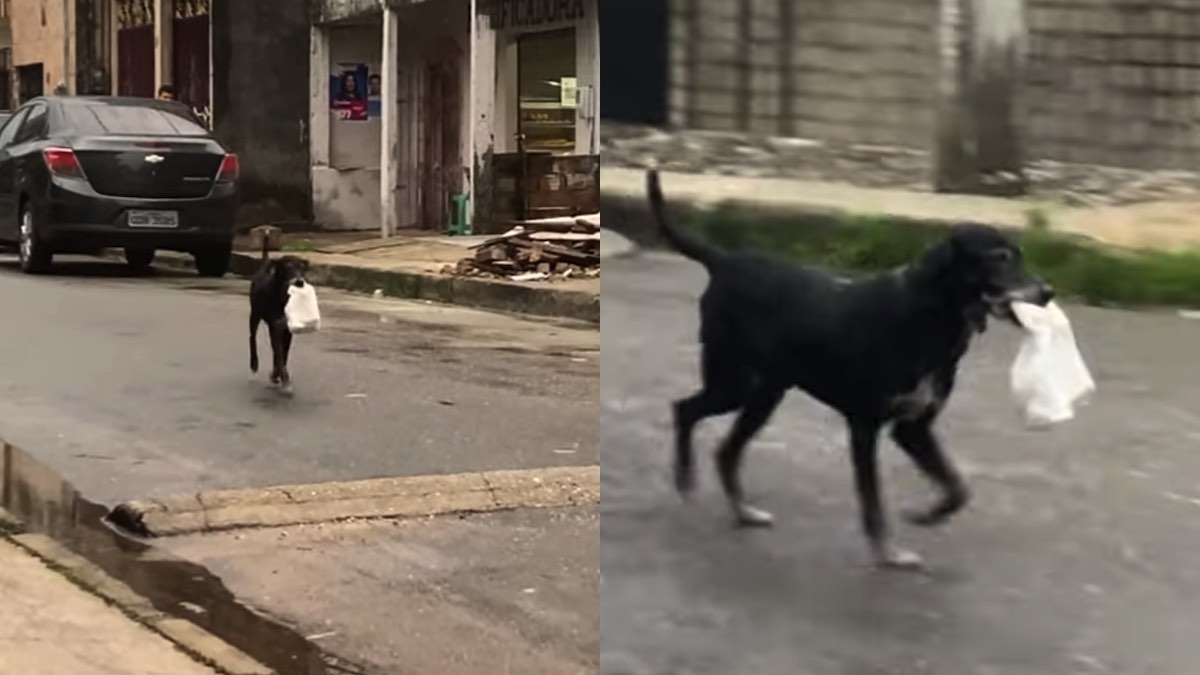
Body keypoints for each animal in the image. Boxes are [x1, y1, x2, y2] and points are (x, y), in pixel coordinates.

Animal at [248, 239, 309, 391]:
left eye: (302, 268)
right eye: (288, 266)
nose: (299, 281)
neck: (283, 298)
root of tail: (265, 264)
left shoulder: (287, 329)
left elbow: (283, 354)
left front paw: (277, 375)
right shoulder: (274, 326)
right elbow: (279, 353)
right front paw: (284, 379)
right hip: (254, 314)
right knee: (252, 338)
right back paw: (254, 363)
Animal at [652, 169, 1056, 566]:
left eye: (1019, 255)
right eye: (999, 257)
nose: (1048, 291)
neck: (932, 318)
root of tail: (723, 260)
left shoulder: (913, 428)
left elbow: (958, 488)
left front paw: (927, 515)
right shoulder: (865, 426)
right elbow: (872, 499)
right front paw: (888, 552)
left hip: (764, 394)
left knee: (725, 450)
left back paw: (743, 511)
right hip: (733, 383)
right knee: (684, 410)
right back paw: (685, 479)